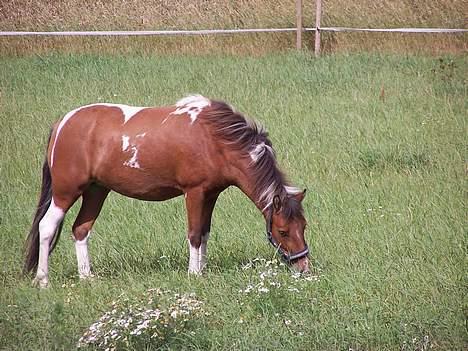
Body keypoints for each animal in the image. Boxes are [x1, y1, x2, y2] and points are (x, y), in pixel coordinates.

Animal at [24, 95, 310, 288]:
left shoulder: (211, 194)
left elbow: (204, 233)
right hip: (66, 192)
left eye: (303, 226)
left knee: (80, 229)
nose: (304, 268)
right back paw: (43, 279)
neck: (215, 139)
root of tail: (62, 123)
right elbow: (194, 234)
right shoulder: (194, 192)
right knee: (47, 227)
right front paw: (194, 274)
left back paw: (87, 277)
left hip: (96, 191)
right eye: (283, 231)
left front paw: (202, 271)